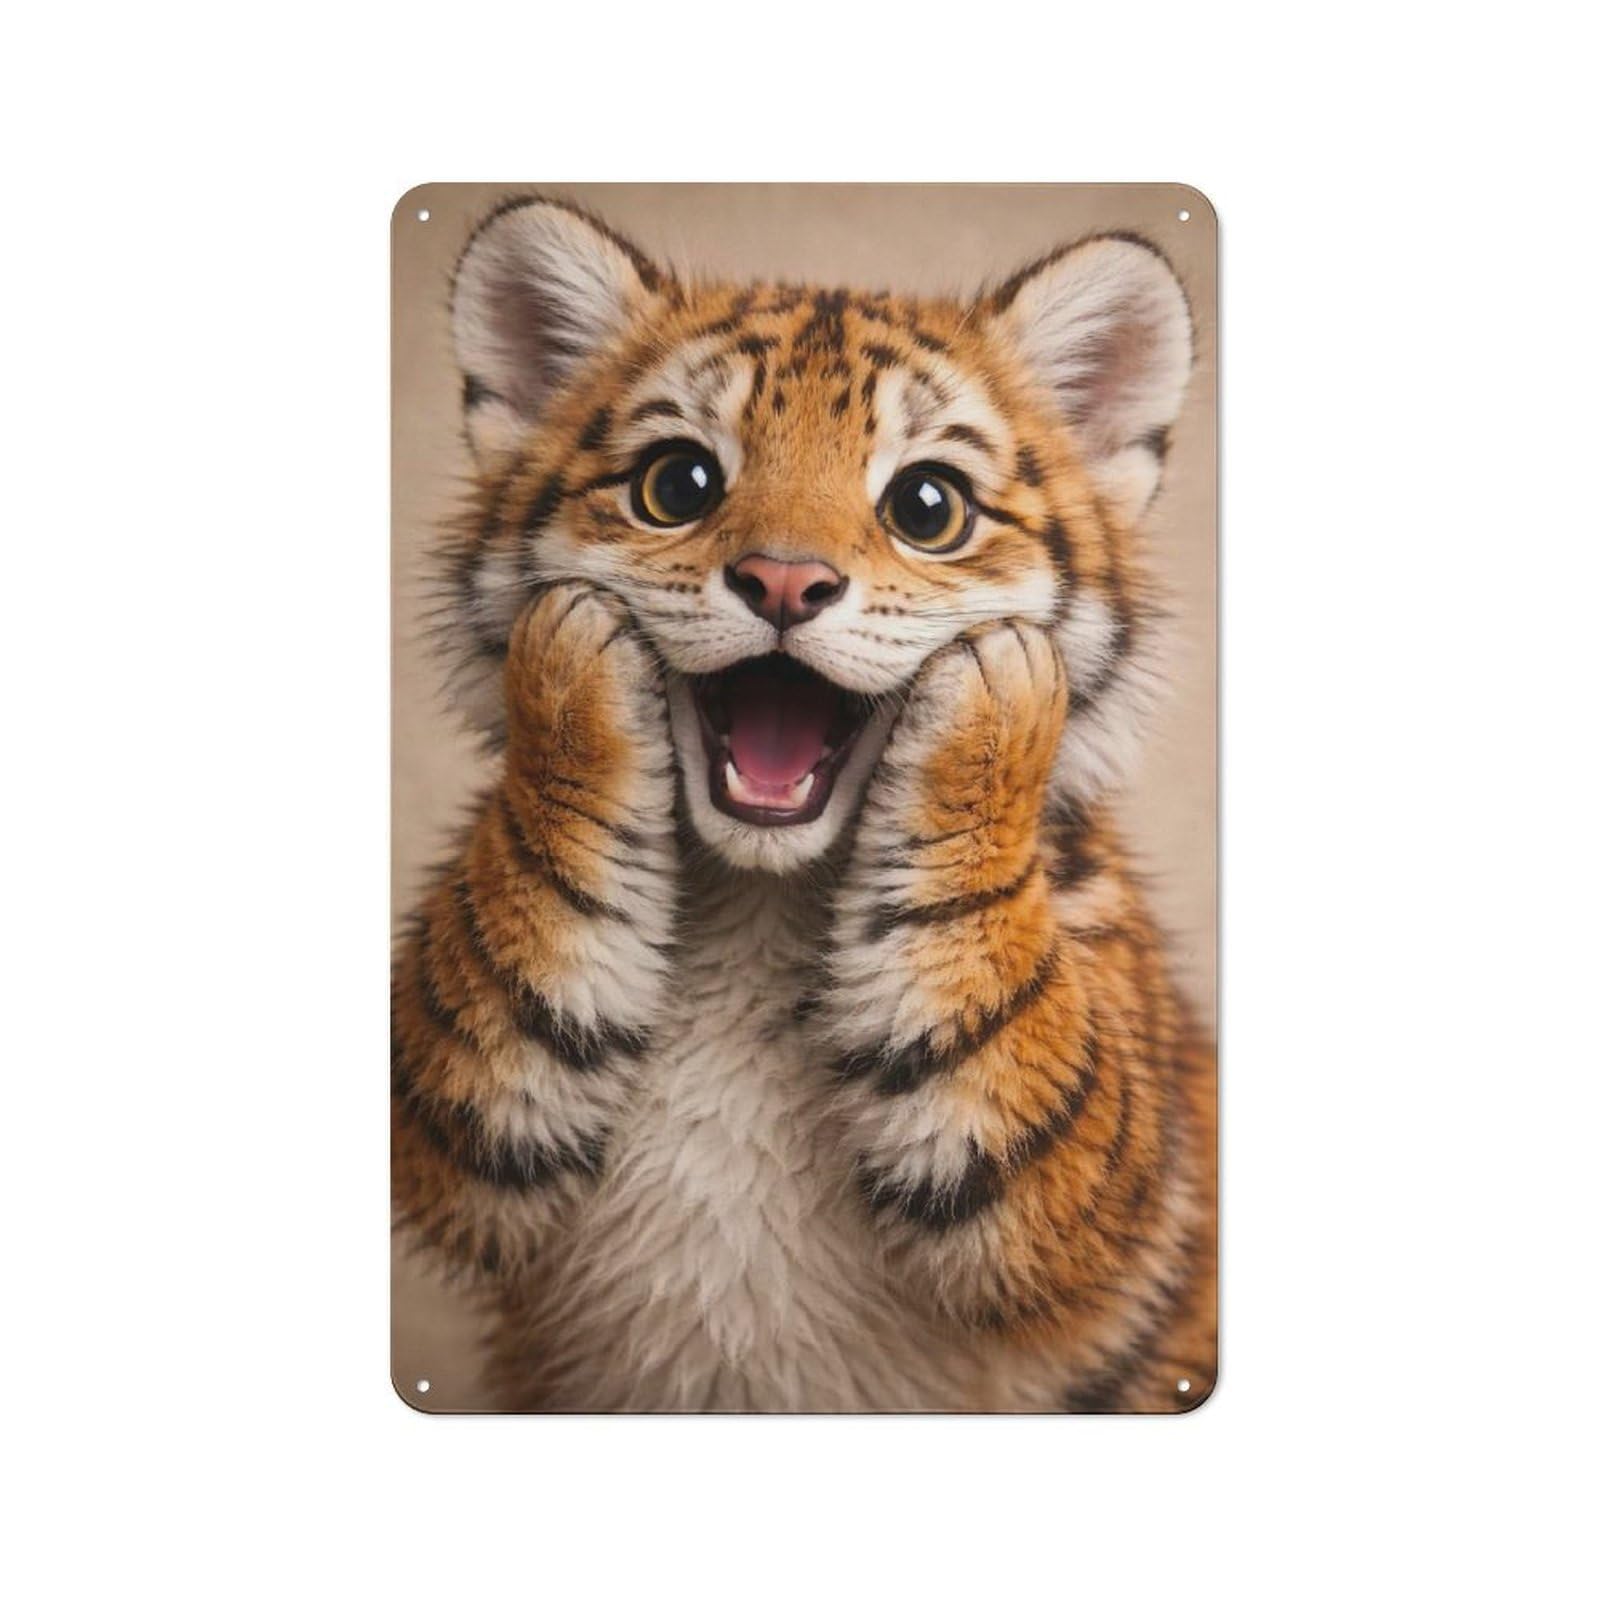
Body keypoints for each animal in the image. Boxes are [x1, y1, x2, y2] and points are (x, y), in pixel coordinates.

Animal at [392, 194, 1216, 1412]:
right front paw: (572, 648)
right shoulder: (456, 1118)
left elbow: (999, 1009)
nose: (784, 583)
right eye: (679, 485)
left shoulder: (1097, 1187)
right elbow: (510, 936)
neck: (762, 903)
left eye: (928, 507)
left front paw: (998, 686)